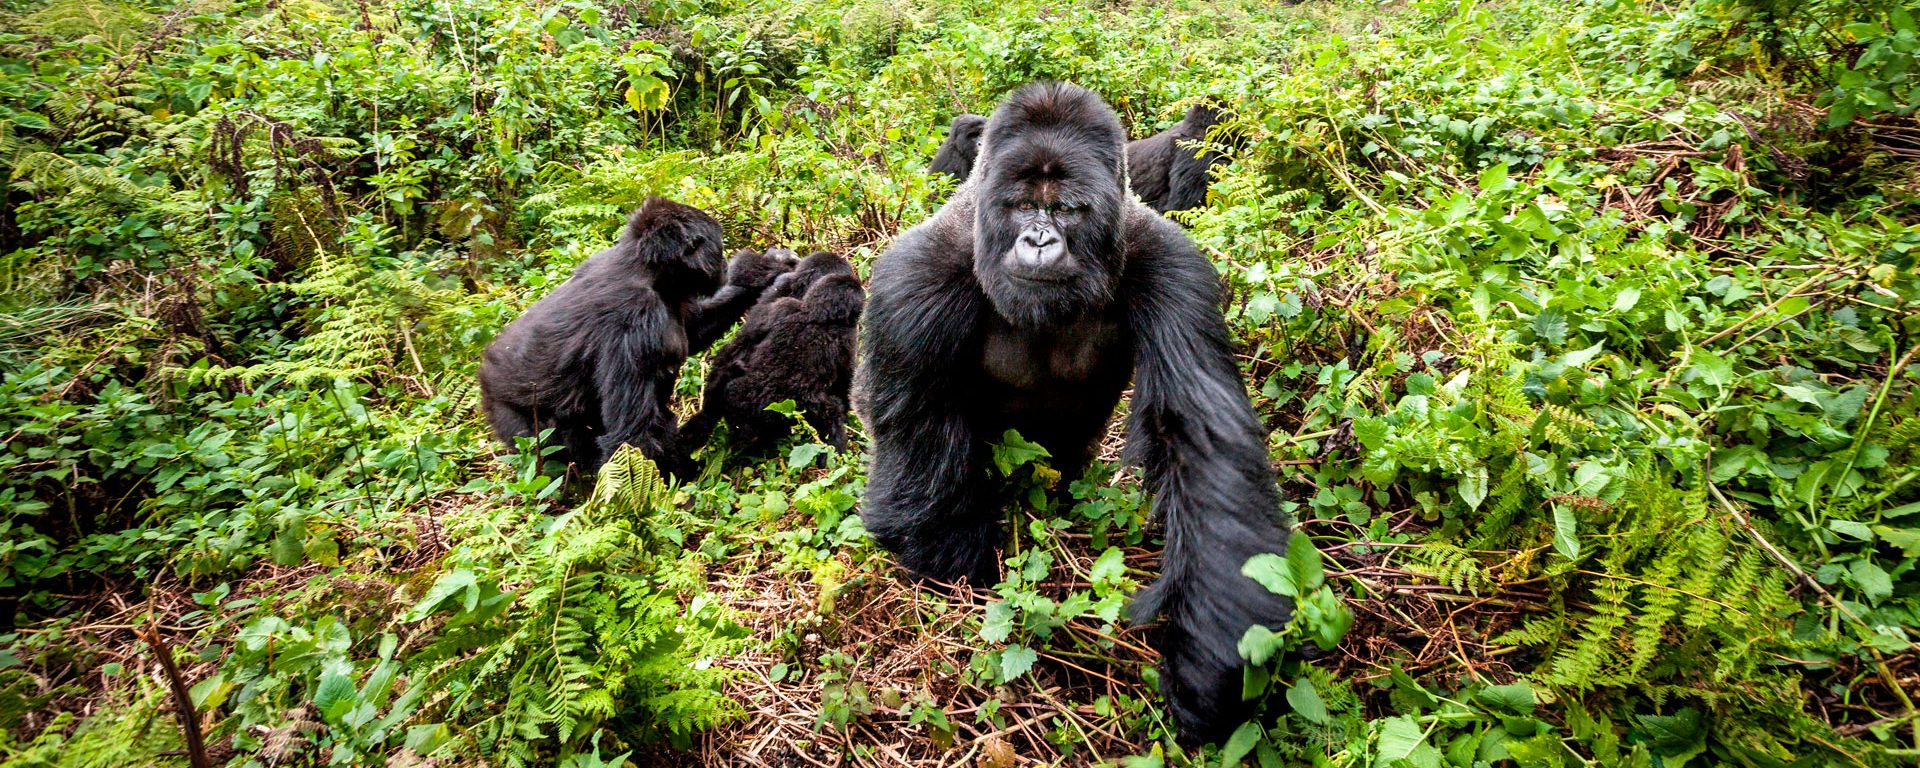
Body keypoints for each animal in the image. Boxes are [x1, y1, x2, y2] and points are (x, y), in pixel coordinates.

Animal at [480, 197, 794, 474]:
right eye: (718, 245)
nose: (725, 265)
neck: (647, 271)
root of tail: (484, 369)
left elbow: (694, 331)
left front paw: (765, 271)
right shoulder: (636, 320)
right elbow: (631, 437)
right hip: (512, 416)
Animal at [856, 81, 1290, 741]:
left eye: (1064, 210)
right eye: (1019, 206)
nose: (1039, 241)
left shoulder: (1174, 267)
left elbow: (1202, 443)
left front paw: (1211, 670)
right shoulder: (913, 284)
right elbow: (919, 463)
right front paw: (962, 583)